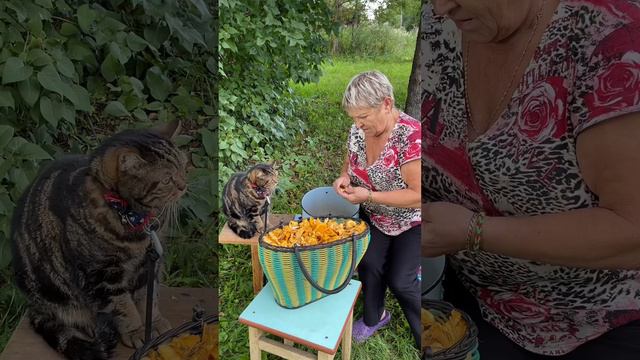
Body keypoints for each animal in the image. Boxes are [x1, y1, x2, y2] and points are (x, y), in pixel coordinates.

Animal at [10, 121, 188, 360]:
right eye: (167, 179)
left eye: (184, 167)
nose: (184, 185)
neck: (134, 220)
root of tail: (33, 306)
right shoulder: (103, 276)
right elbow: (123, 307)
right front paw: (137, 330)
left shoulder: (148, 266)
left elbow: (147, 299)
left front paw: (155, 322)